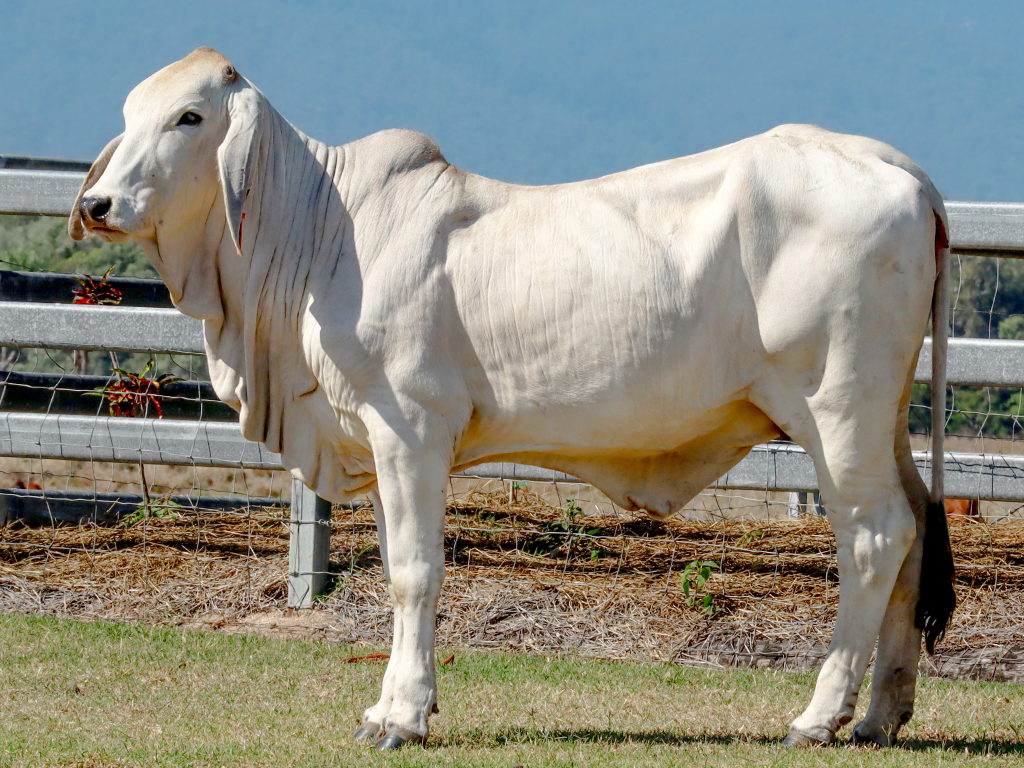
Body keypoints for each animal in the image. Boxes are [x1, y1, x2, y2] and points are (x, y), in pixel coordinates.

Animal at [69, 47, 954, 749]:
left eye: (189, 116)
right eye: (129, 115)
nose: (96, 204)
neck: (320, 233)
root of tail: (898, 168)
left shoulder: (410, 429)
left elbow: (415, 572)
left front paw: (403, 718)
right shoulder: (384, 442)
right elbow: (394, 565)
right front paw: (391, 705)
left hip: (835, 408)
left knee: (875, 536)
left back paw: (818, 716)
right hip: (881, 417)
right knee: (916, 527)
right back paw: (881, 716)